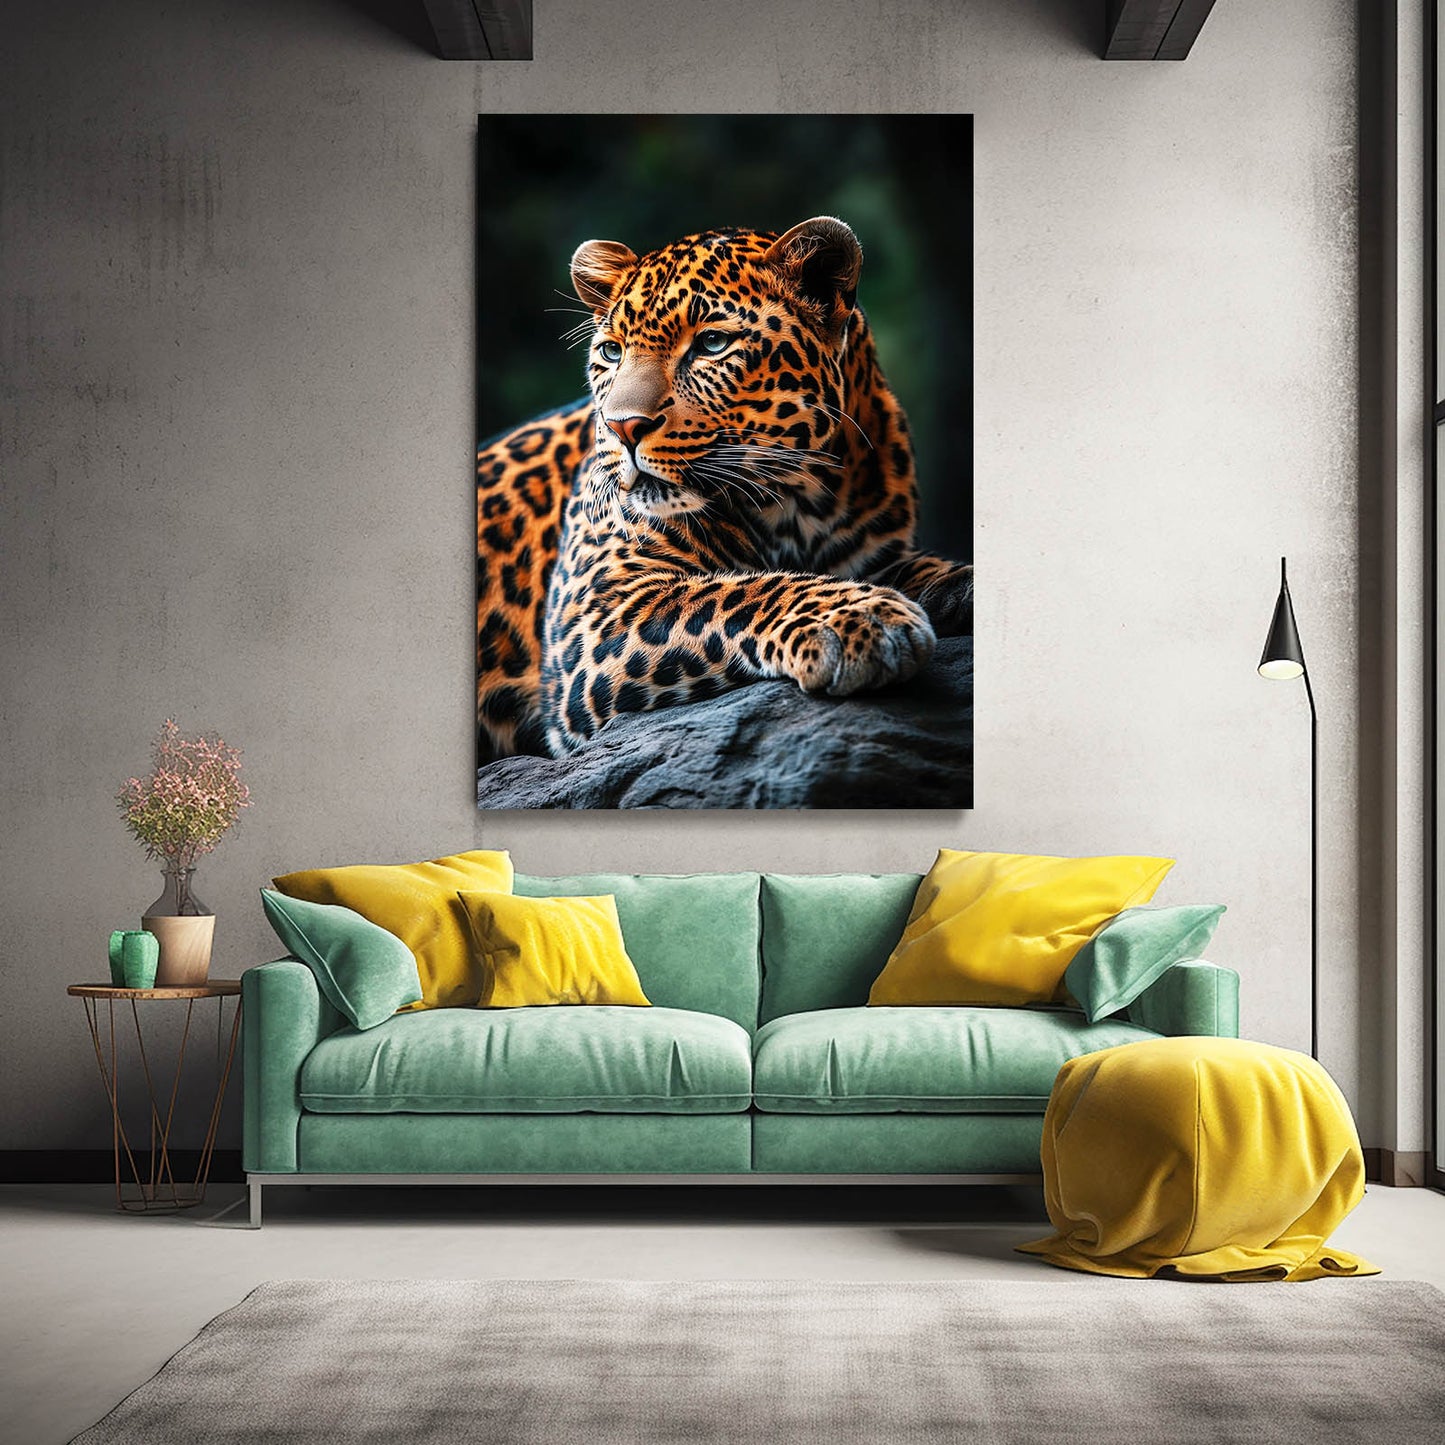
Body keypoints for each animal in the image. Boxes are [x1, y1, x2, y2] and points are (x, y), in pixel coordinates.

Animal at [475, 215, 973, 761]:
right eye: (611, 351)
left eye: (712, 344)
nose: (622, 426)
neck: (802, 502)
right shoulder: (597, 608)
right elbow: (738, 591)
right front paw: (858, 618)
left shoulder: (874, 555)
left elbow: (919, 568)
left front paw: (962, 587)